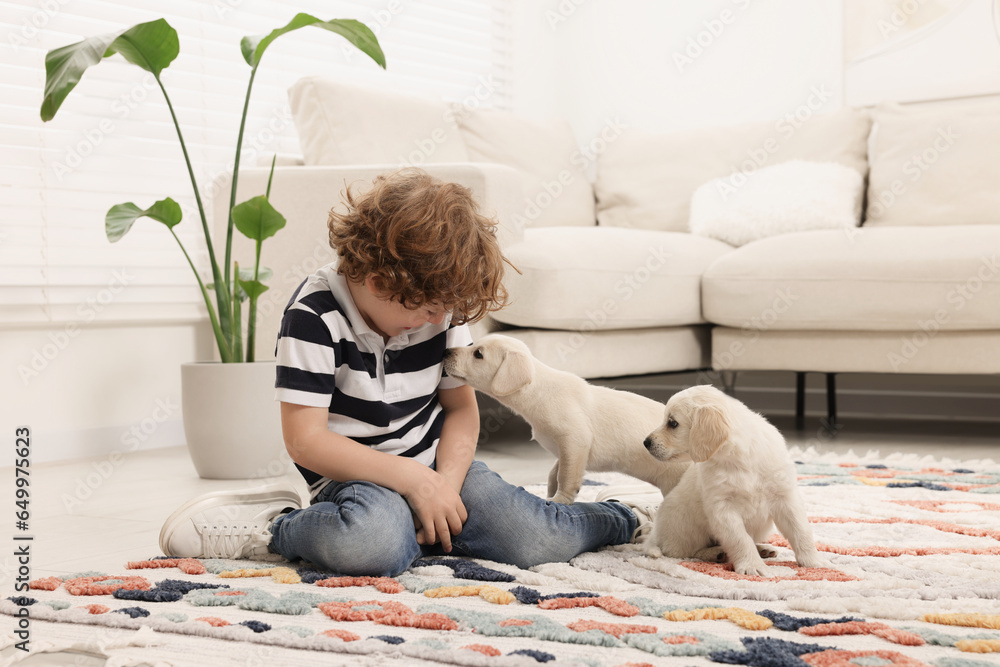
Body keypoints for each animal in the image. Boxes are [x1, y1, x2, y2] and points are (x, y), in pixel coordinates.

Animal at [446, 336, 688, 504]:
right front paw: (549, 493)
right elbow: (555, 471)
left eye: (478, 354)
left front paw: (560, 500)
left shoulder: (575, 440)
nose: (446, 351)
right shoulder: (565, 449)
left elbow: (566, 474)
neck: (540, 391)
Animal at [640, 384, 828, 576]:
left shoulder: (785, 497)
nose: (646, 442)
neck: (736, 458)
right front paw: (753, 565)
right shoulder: (723, 508)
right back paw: (717, 553)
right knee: (684, 551)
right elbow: (740, 539)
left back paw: (763, 549)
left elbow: (800, 531)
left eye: (672, 423)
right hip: (684, 526)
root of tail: (654, 534)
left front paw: (814, 561)